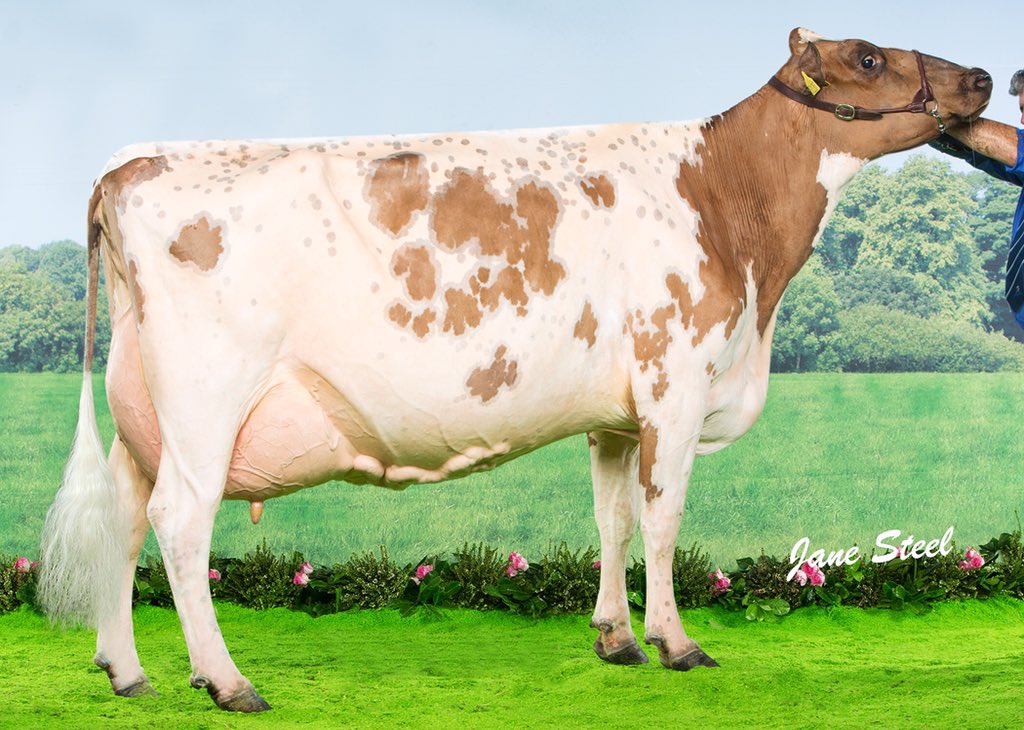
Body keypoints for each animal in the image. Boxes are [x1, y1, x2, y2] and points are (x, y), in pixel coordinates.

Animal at [38, 29, 991, 712]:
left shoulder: (615, 414)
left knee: (124, 516)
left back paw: (126, 670)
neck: (728, 209)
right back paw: (227, 681)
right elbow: (663, 522)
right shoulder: (675, 387)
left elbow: (612, 520)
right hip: (206, 402)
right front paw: (677, 644)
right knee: (179, 523)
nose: (982, 77)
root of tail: (133, 162)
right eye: (868, 57)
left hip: (144, 413)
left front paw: (616, 638)